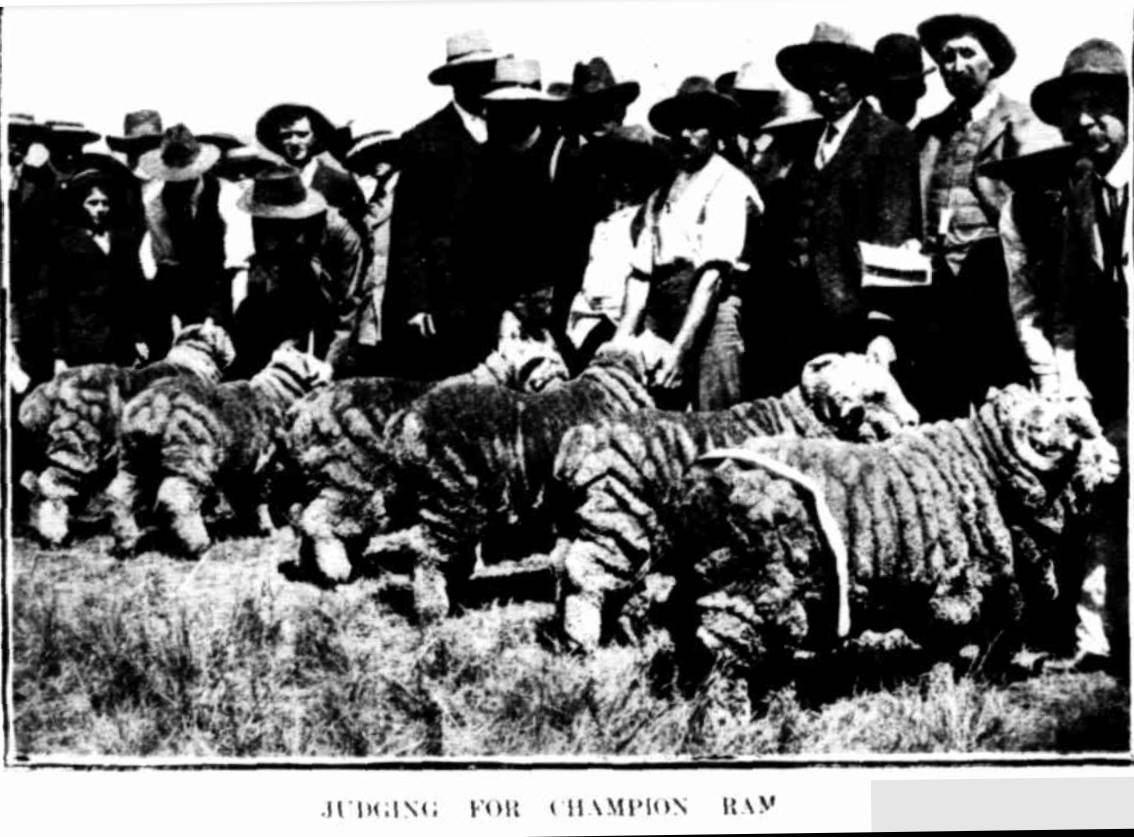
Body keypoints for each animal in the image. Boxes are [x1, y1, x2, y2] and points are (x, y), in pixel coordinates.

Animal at [551, 351, 920, 644]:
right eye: (876, 395)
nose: (915, 420)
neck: (803, 419)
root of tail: (578, 444)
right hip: (618, 516)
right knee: (586, 576)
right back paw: (584, 640)